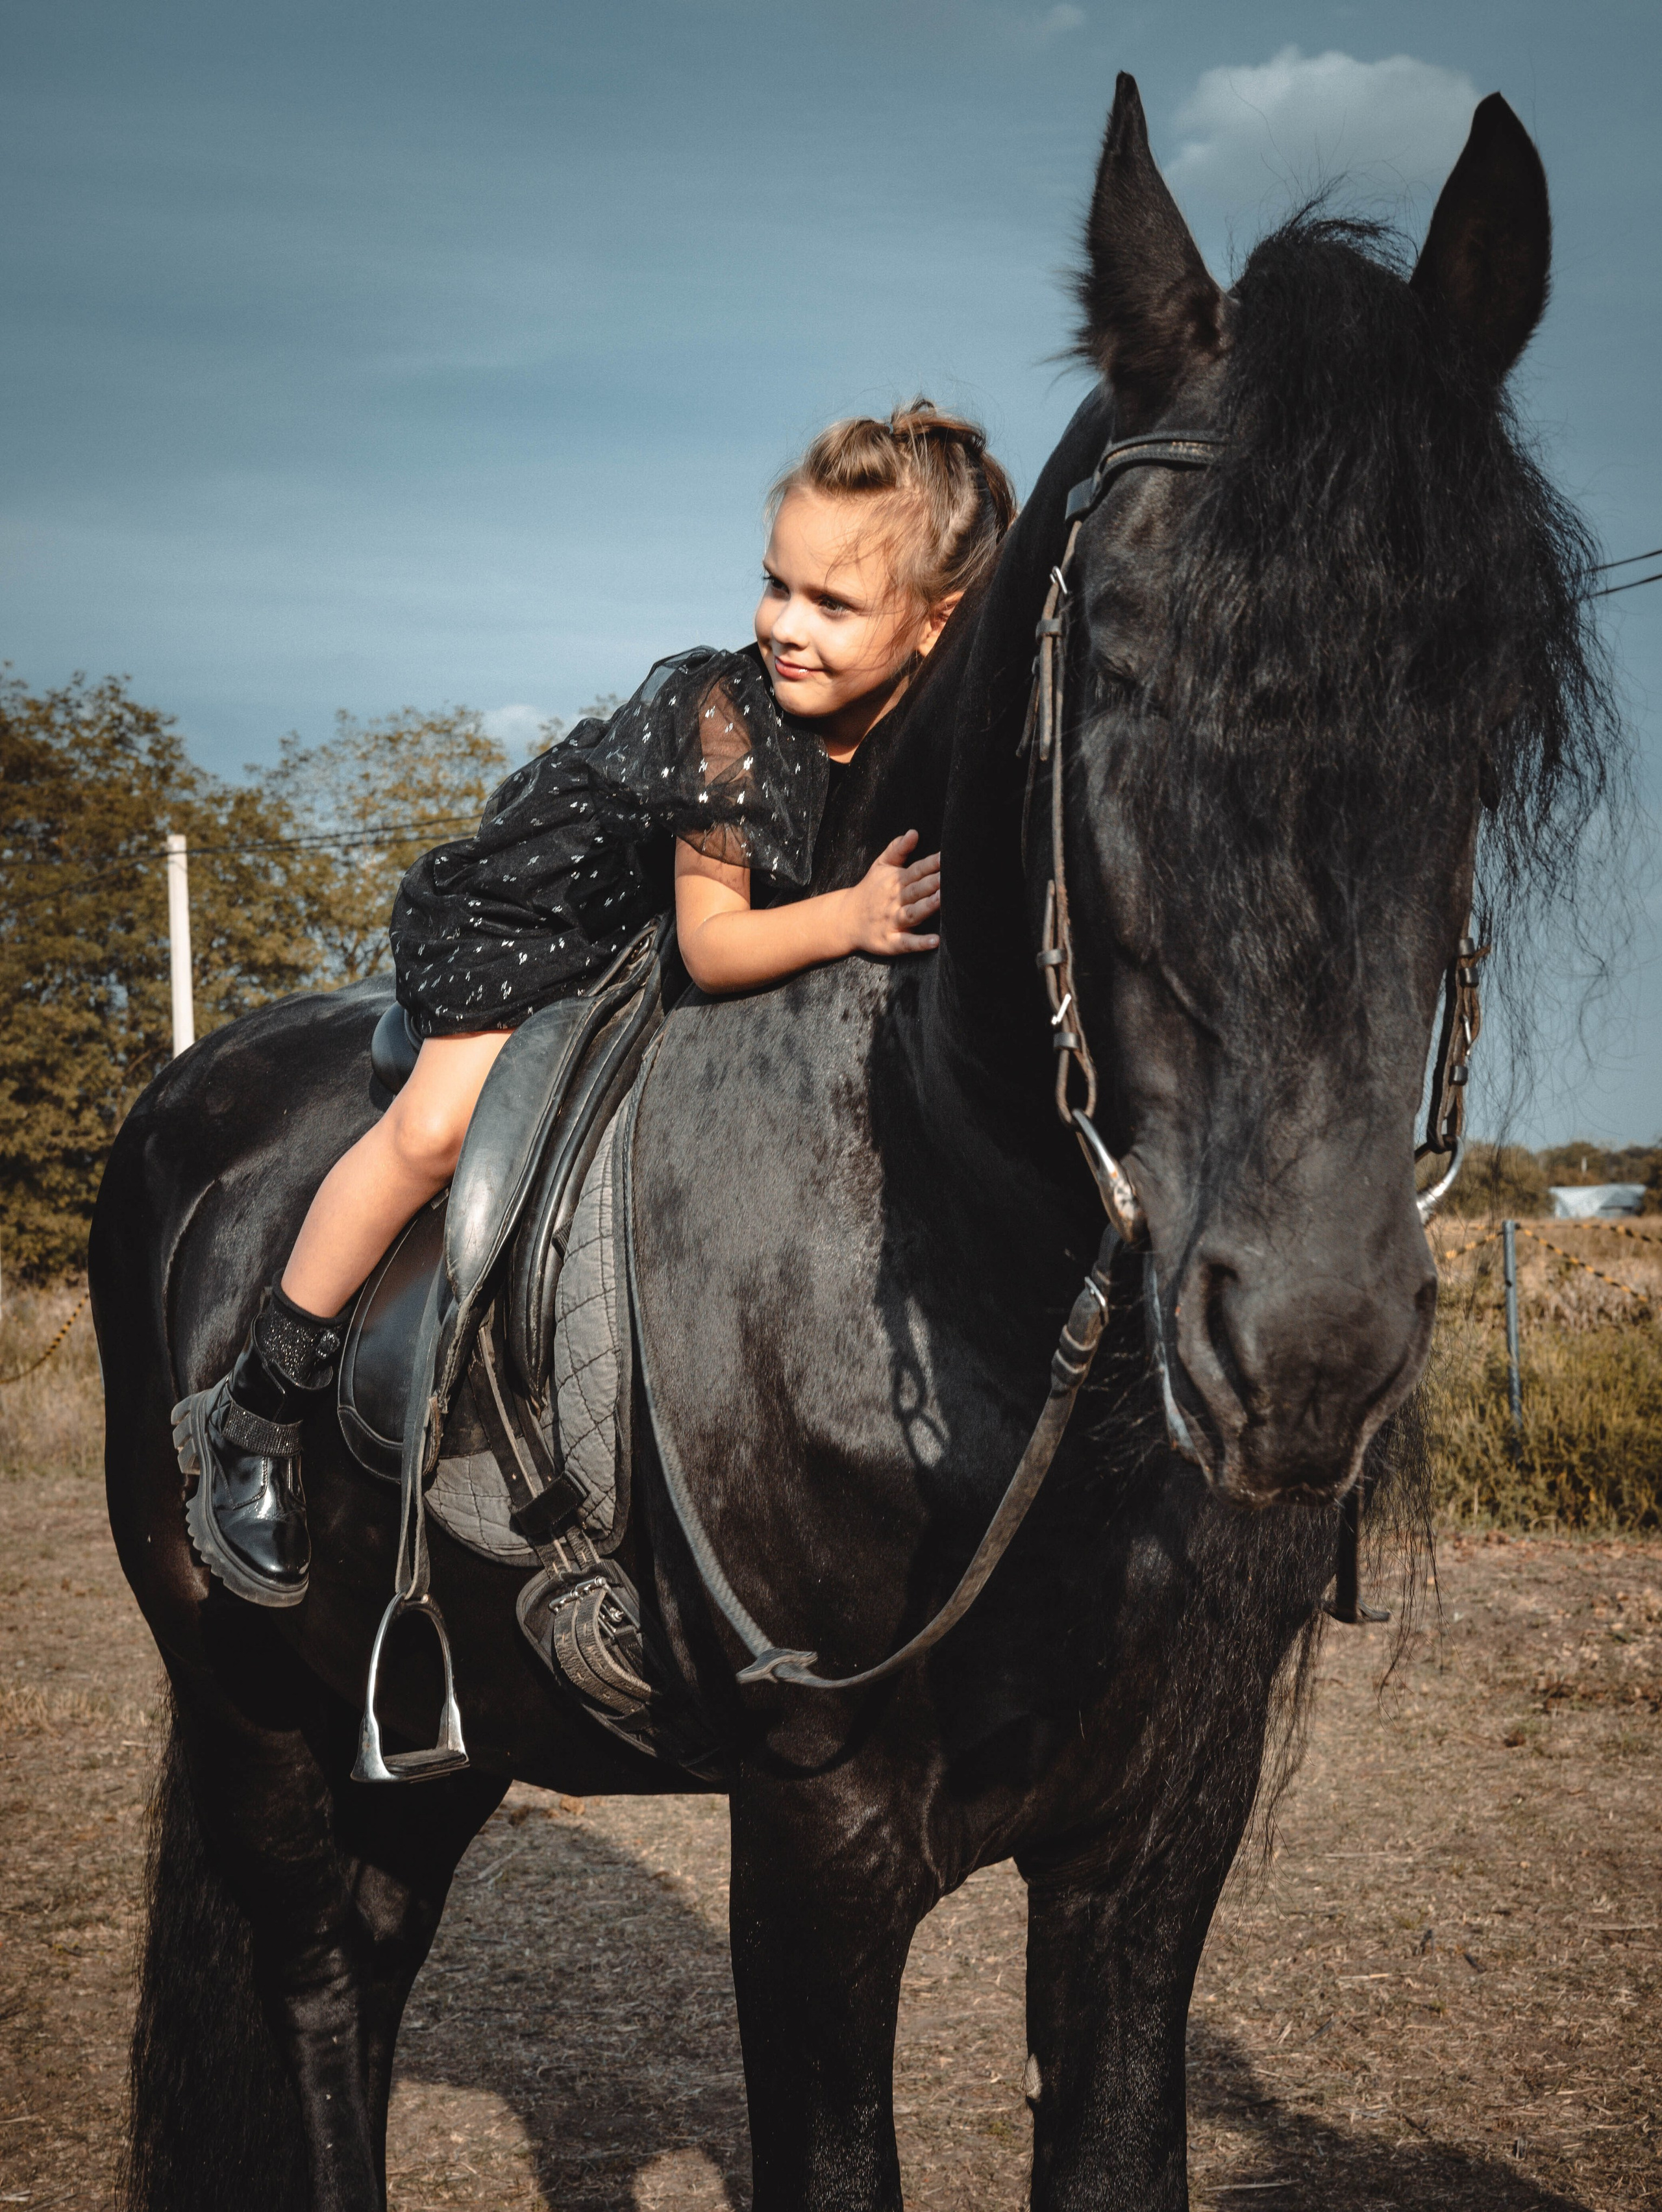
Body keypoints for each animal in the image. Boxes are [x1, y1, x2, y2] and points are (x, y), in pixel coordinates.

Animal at [92, 73, 1613, 2212]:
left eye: (1485, 690)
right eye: (1113, 656)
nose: (1305, 1347)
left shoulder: (1152, 1847)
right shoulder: (814, 1844)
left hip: (419, 1742)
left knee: (369, 1988)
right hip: (254, 1723)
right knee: (313, 2010)